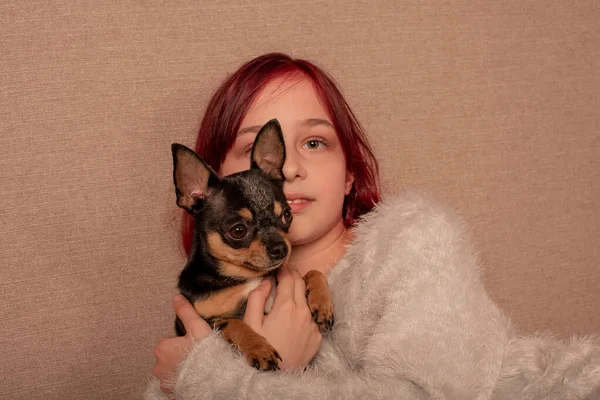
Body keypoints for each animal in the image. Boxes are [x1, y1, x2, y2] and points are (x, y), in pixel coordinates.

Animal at [171, 119, 336, 372]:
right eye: (238, 231)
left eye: (287, 215)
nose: (281, 248)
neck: (245, 276)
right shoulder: (209, 324)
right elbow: (236, 324)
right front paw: (259, 348)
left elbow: (312, 272)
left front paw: (322, 302)